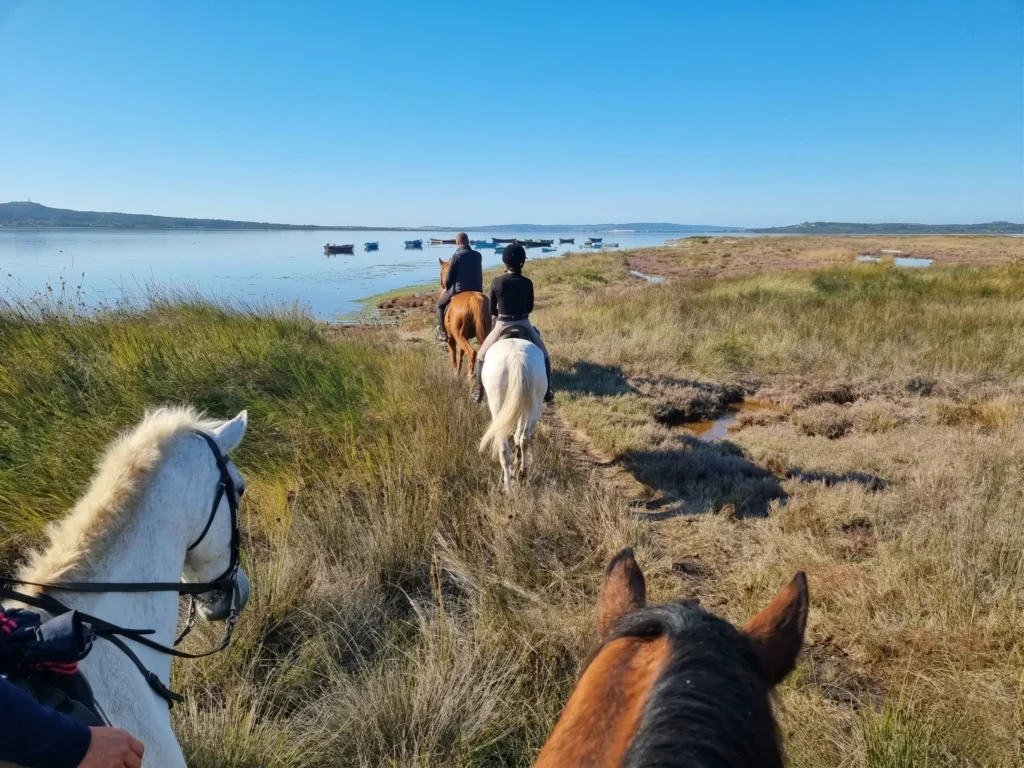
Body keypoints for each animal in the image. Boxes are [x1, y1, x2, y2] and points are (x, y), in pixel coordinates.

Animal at [439, 257, 491, 389]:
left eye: (440, 273)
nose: (442, 284)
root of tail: (474, 300)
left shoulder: (451, 339)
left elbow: (453, 357)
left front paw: (454, 375)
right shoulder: (464, 337)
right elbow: (461, 355)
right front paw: (458, 372)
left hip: (458, 336)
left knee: (472, 352)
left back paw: (470, 377)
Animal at [478, 336, 547, 492]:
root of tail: (516, 356)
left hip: (497, 406)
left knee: (504, 448)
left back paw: (508, 487)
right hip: (535, 405)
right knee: (525, 437)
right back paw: (523, 471)